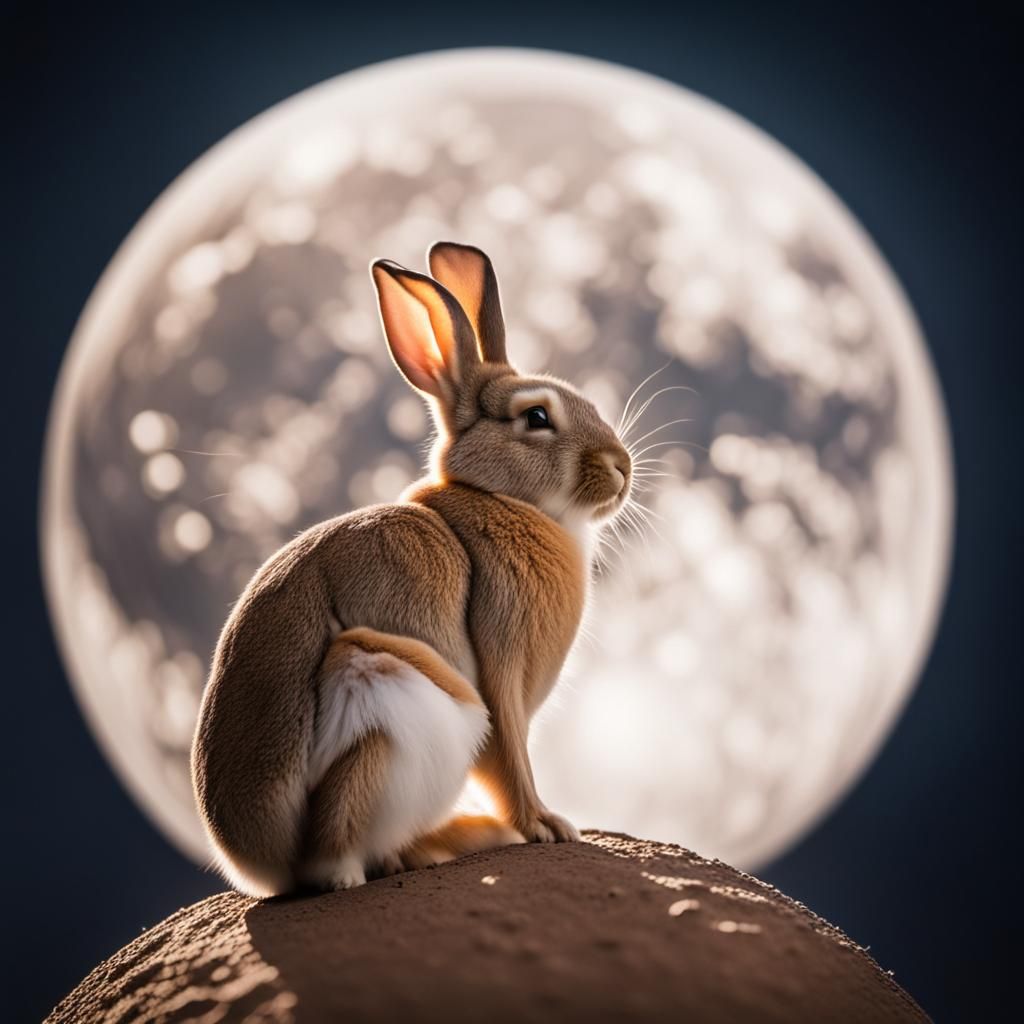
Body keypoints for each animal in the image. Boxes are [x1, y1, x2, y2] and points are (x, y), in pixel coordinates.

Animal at [191, 241, 633, 896]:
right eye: (536, 417)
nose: (622, 467)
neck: (498, 497)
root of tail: (256, 863)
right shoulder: (500, 666)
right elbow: (512, 760)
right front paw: (547, 825)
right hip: (385, 687)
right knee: (338, 857)